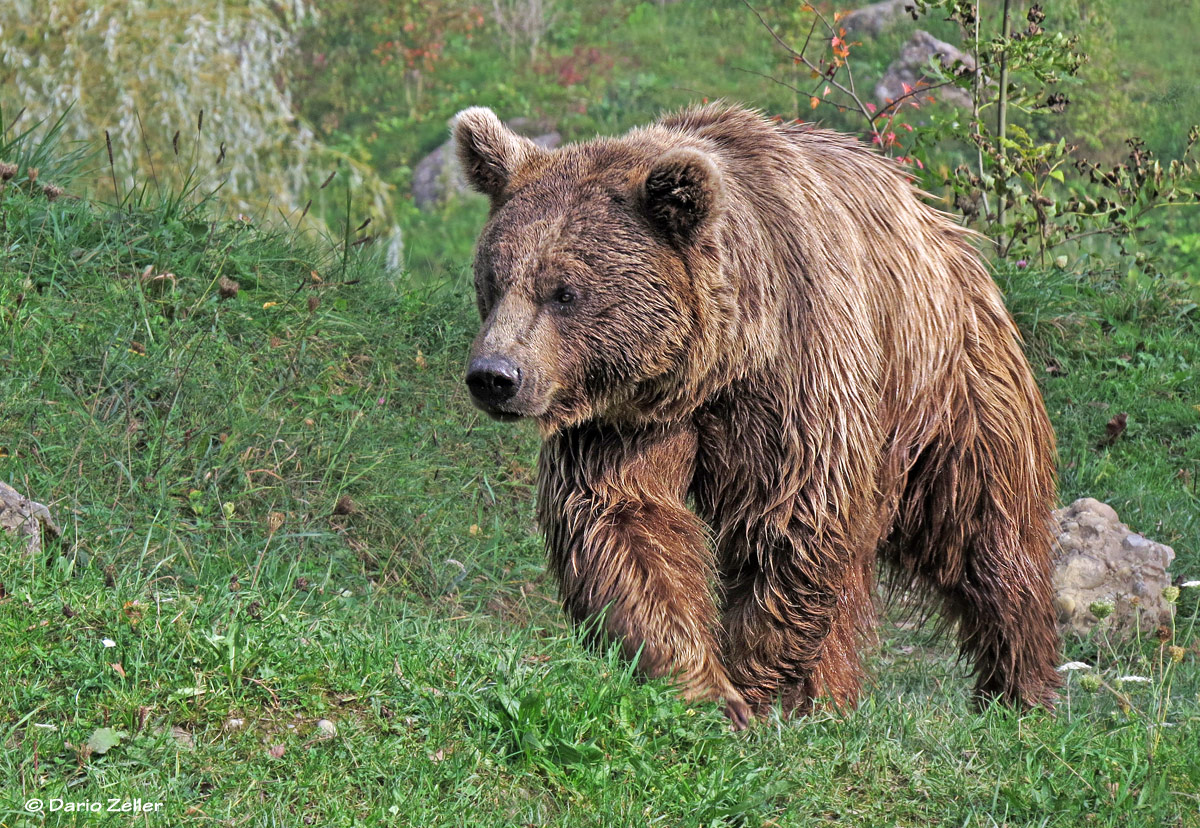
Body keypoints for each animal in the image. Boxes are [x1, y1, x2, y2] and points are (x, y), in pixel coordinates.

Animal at [451, 101, 1060, 720]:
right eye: (493, 279)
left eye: (564, 291)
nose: (495, 376)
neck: (718, 361)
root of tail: (941, 228)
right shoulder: (629, 415)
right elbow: (621, 519)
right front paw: (699, 681)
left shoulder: (797, 377)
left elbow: (792, 521)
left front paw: (752, 683)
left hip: (951, 386)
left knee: (986, 529)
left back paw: (1018, 686)